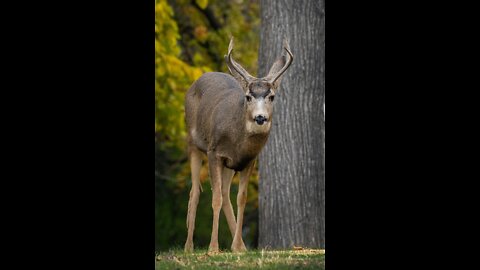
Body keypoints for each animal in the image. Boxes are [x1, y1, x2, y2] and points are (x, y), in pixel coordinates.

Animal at [184, 37, 292, 253]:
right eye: (248, 96)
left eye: (272, 96)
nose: (260, 117)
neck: (237, 141)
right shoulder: (214, 152)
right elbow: (215, 197)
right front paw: (213, 248)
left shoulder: (248, 160)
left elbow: (240, 198)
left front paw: (236, 247)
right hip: (193, 144)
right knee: (196, 191)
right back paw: (188, 246)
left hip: (229, 165)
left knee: (226, 194)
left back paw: (240, 245)